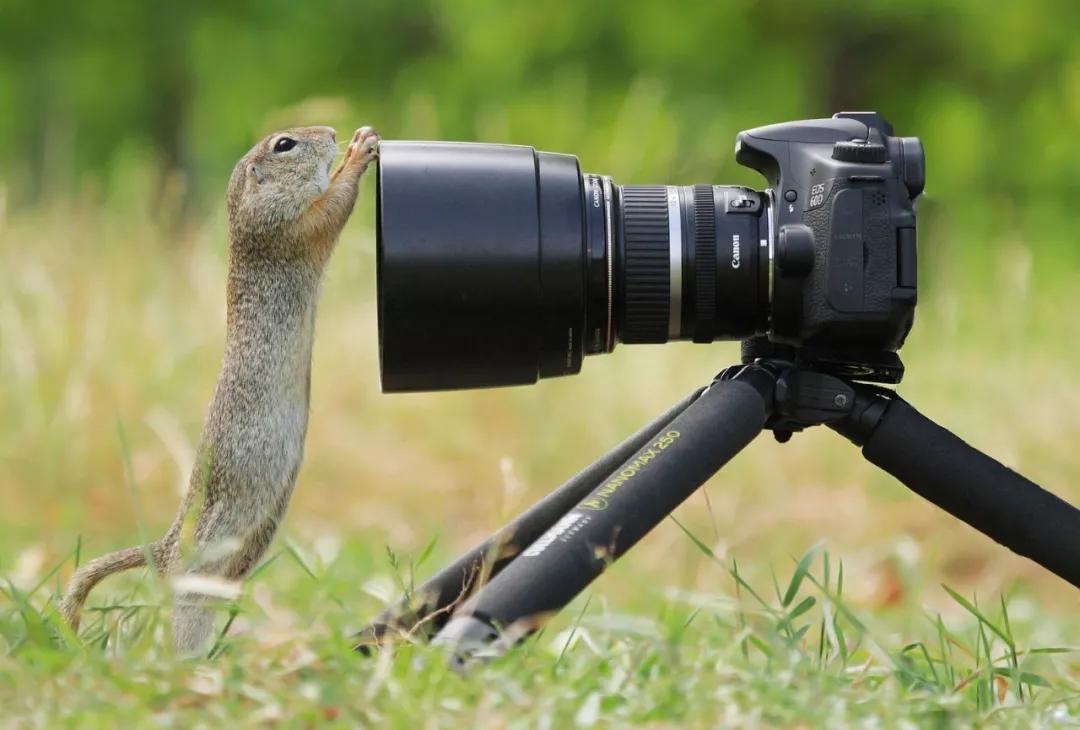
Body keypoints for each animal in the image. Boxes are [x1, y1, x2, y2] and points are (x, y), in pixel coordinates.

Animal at [59, 124, 379, 654]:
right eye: (285, 145)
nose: (332, 132)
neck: (244, 219)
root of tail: (166, 549)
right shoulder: (289, 228)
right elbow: (332, 206)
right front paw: (356, 153)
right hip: (198, 576)